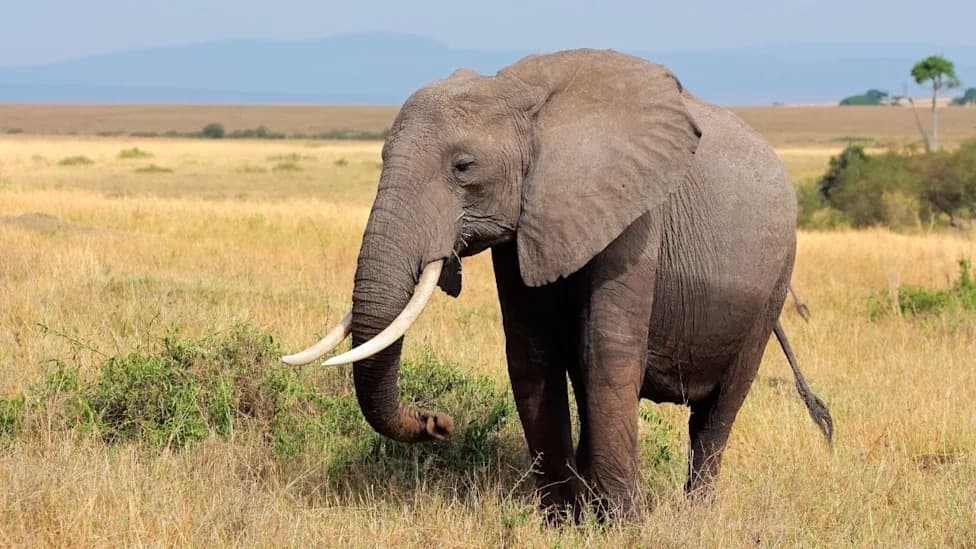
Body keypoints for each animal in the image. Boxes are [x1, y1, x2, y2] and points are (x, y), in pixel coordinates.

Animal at [284, 49, 833, 519]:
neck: (523, 95)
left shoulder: (635, 216)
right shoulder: (524, 223)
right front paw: (563, 523)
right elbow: (532, 356)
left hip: (774, 280)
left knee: (716, 414)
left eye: (463, 167)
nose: (436, 422)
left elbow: (608, 356)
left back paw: (693, 516)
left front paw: (624, 528)